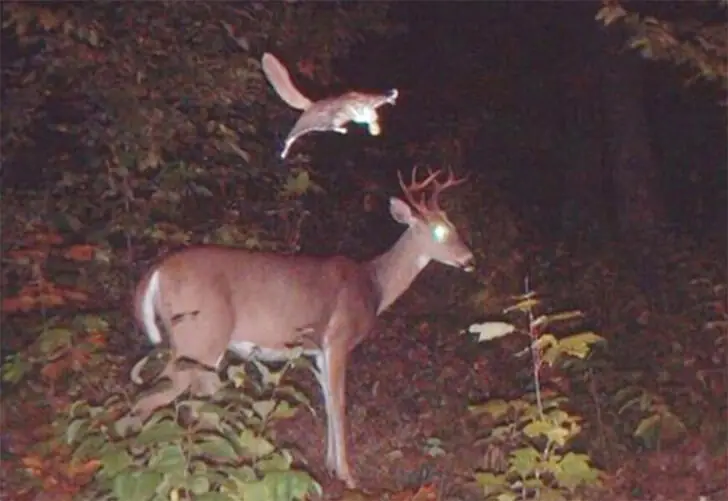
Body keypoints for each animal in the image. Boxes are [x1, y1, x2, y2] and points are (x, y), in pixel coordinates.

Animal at [261, 52, 398, 159]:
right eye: (358, 108)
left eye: (372, 116)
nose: (370, 120)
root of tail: (311, 105)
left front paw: (390, 99)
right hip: (307, 123)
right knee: (293, 136)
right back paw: (285, 150)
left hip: (318, 124)